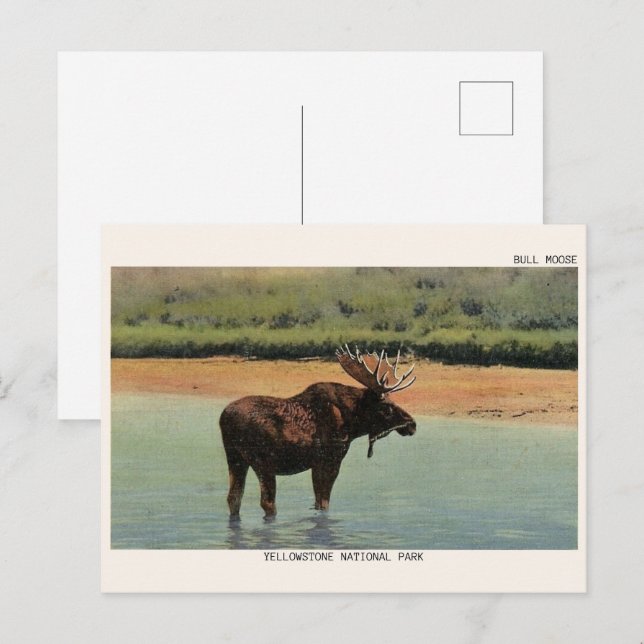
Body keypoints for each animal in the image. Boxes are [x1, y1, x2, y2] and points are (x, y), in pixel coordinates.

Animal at [219, 346, 417, 519]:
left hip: (235, 457)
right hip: (262, 462)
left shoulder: (315, 464)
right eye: (386, 407)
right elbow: (323, 502)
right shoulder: (330, 460)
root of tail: (224, 418)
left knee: (234, 498)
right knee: (267, 502)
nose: (412, 424)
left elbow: (317, 501)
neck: (352, 423)